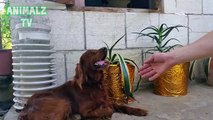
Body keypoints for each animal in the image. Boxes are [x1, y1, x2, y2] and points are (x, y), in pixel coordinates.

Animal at [17, 47, 148, 120]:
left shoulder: (108, 100)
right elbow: (108, 109)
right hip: (63, 103)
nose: (105, 48)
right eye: (90, 53)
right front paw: (105, 114)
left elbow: (122, 106)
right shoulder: (86, 111)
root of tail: (25, 108)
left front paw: (139, 111)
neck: (93, 85)